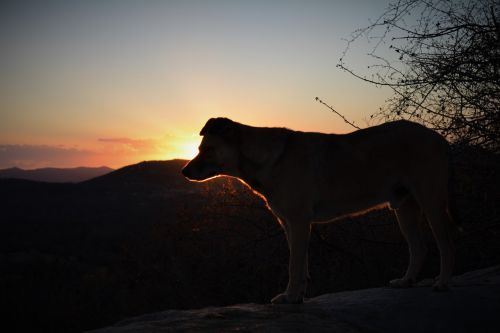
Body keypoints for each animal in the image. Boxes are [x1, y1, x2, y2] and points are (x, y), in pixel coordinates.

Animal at [182, 117, 456, 304]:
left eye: (208, 149)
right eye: (200, 148)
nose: (184, 172)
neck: (268, 159)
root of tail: (439, 138)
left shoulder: (299, 221)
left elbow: (294, 265)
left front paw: (289, 296)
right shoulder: (289, 224)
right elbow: (300, 263)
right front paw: (297, 296)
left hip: (431, 202)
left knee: (445, 244)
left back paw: (443, 282)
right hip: (405, 209)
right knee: (419, 247)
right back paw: (406, 281)